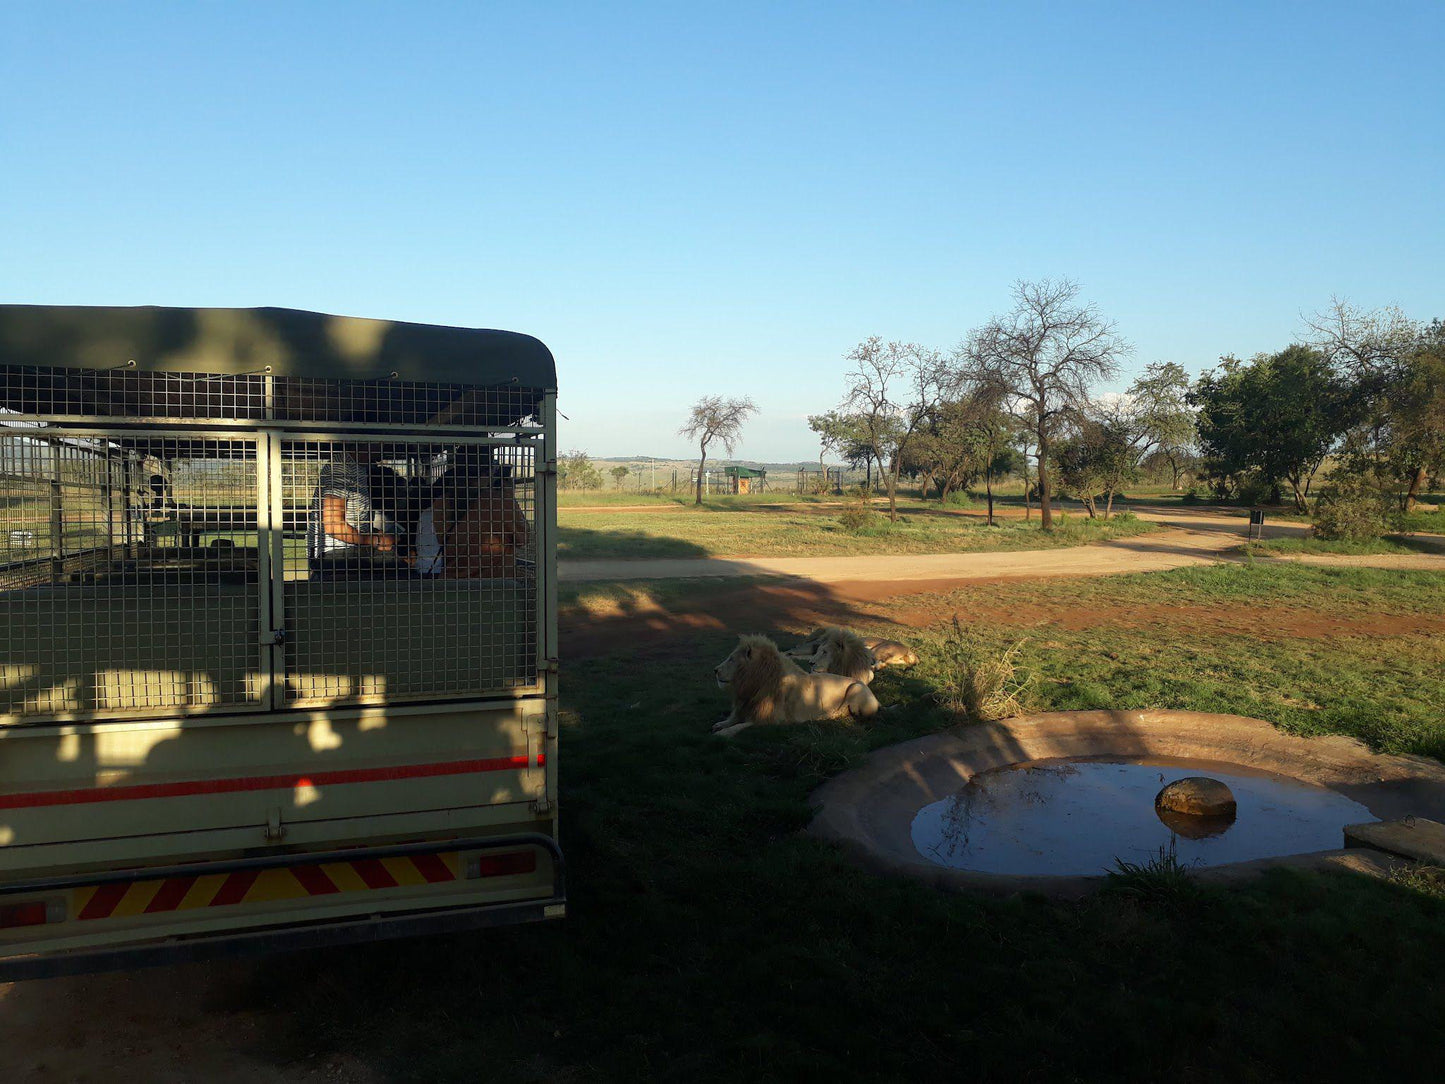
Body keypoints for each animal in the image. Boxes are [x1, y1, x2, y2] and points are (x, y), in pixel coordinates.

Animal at [713, 635, 878, 740]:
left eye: (731, 659)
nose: (715, 670)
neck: (753, 686)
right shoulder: (747, 707)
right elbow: (733, 719)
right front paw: (719, 724)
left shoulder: (772, 721)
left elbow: (742, 726)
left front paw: (723, 734)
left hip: (855, 688)